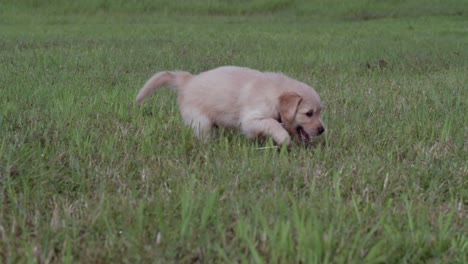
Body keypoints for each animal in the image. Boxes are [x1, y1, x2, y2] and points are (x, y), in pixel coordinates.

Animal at [135, 65, 326, 145]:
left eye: (319, 112)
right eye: (309, 113)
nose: (322, 130)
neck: (274, 94)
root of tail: (188, 80)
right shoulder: (250, 120)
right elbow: (272, 123)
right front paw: (284, 139)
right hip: (200, 120)